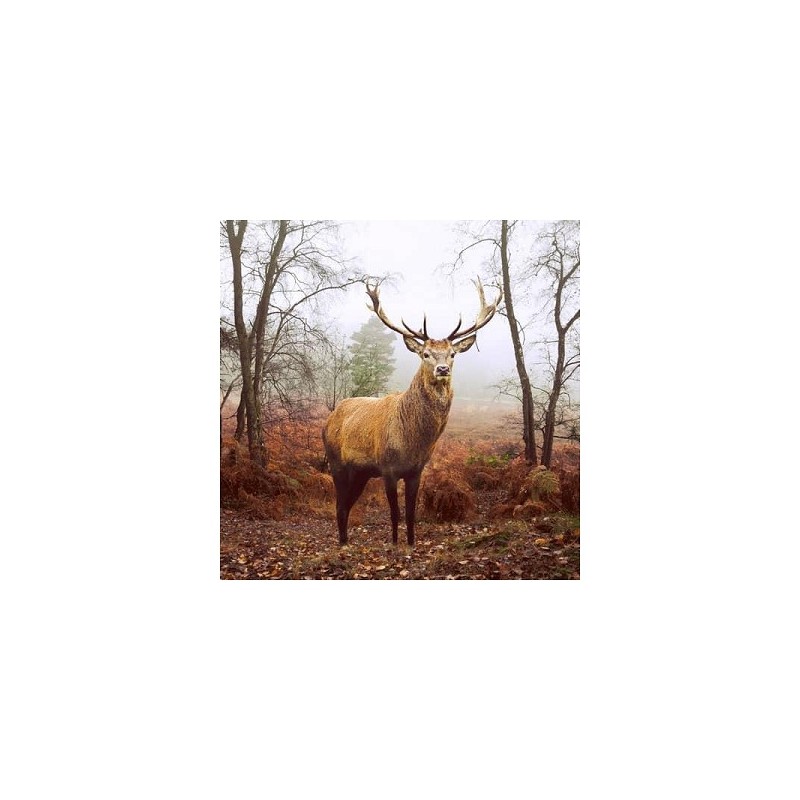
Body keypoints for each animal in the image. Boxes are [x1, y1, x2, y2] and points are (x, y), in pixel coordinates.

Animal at [322, 278, 503, 546]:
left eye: (452, 354)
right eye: (425, 354)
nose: (442, 369)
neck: (412, 441)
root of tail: (328, 420)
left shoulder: (416, 471)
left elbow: (410, 514)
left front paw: (410, 543)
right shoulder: (387, 468)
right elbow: (395, 514)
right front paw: (395, 543)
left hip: (360, 472)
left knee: (346, 505)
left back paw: (345, 541)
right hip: (336, 463)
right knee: (339, 505)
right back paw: (343, 543)